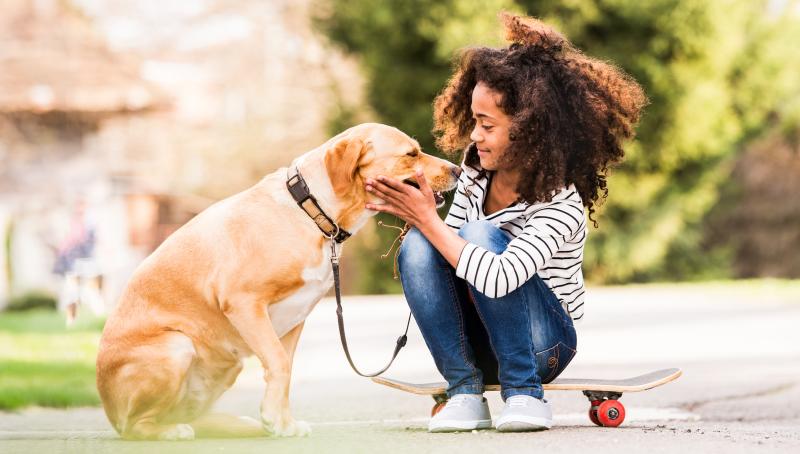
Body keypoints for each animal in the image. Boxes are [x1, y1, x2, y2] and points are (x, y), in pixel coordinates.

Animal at [97, 122, 460, 438]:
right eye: (411, 154)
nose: (458, 170)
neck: (312, 212)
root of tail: (108, 408)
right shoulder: (243, 302)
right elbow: (279, 363)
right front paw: (275, 419)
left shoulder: (295, 318)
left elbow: (285, 367)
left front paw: (282, 423)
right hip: (178, 346)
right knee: (136, 426)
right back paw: (169, 431)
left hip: (228, 364)